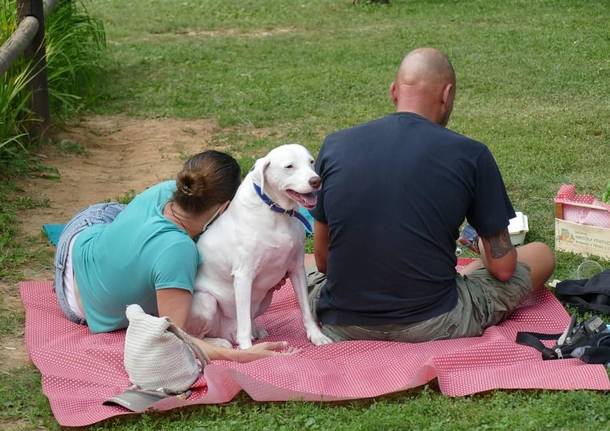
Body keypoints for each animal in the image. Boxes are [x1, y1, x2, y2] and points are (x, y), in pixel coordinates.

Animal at [186, 145, 332, 352]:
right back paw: (221, 342)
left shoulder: (297, 268)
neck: (277, 211)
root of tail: (227, 333)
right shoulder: (243, 275)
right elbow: (244, 323)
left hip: (266, 297)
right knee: (194, 335)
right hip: (206, 301)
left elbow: (305, 310)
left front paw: (317, 336)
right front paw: (248, 350)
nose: (316, 181)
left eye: (311, 162)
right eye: (289, 166)